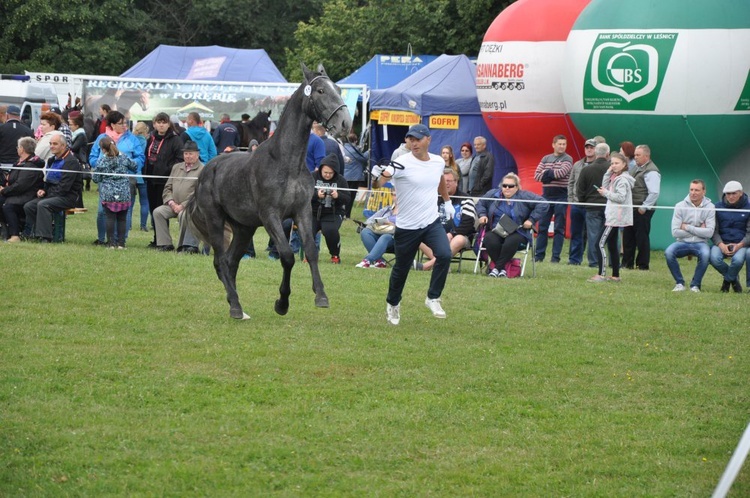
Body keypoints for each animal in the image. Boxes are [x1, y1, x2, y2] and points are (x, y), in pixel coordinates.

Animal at [188, 65, 352, 320]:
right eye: (321, 90)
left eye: (339, 88)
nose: (345, 123)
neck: (285, 162)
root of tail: (206, 172)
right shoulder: (270, 216)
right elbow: (287, 255)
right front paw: (282, 303)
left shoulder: (302, 211)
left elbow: (311, 251)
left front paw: (321, 296)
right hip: (215, 221)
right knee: (221, 261)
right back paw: (236, 307)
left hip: (244, 228)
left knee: (231, 262)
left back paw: (236, 304)